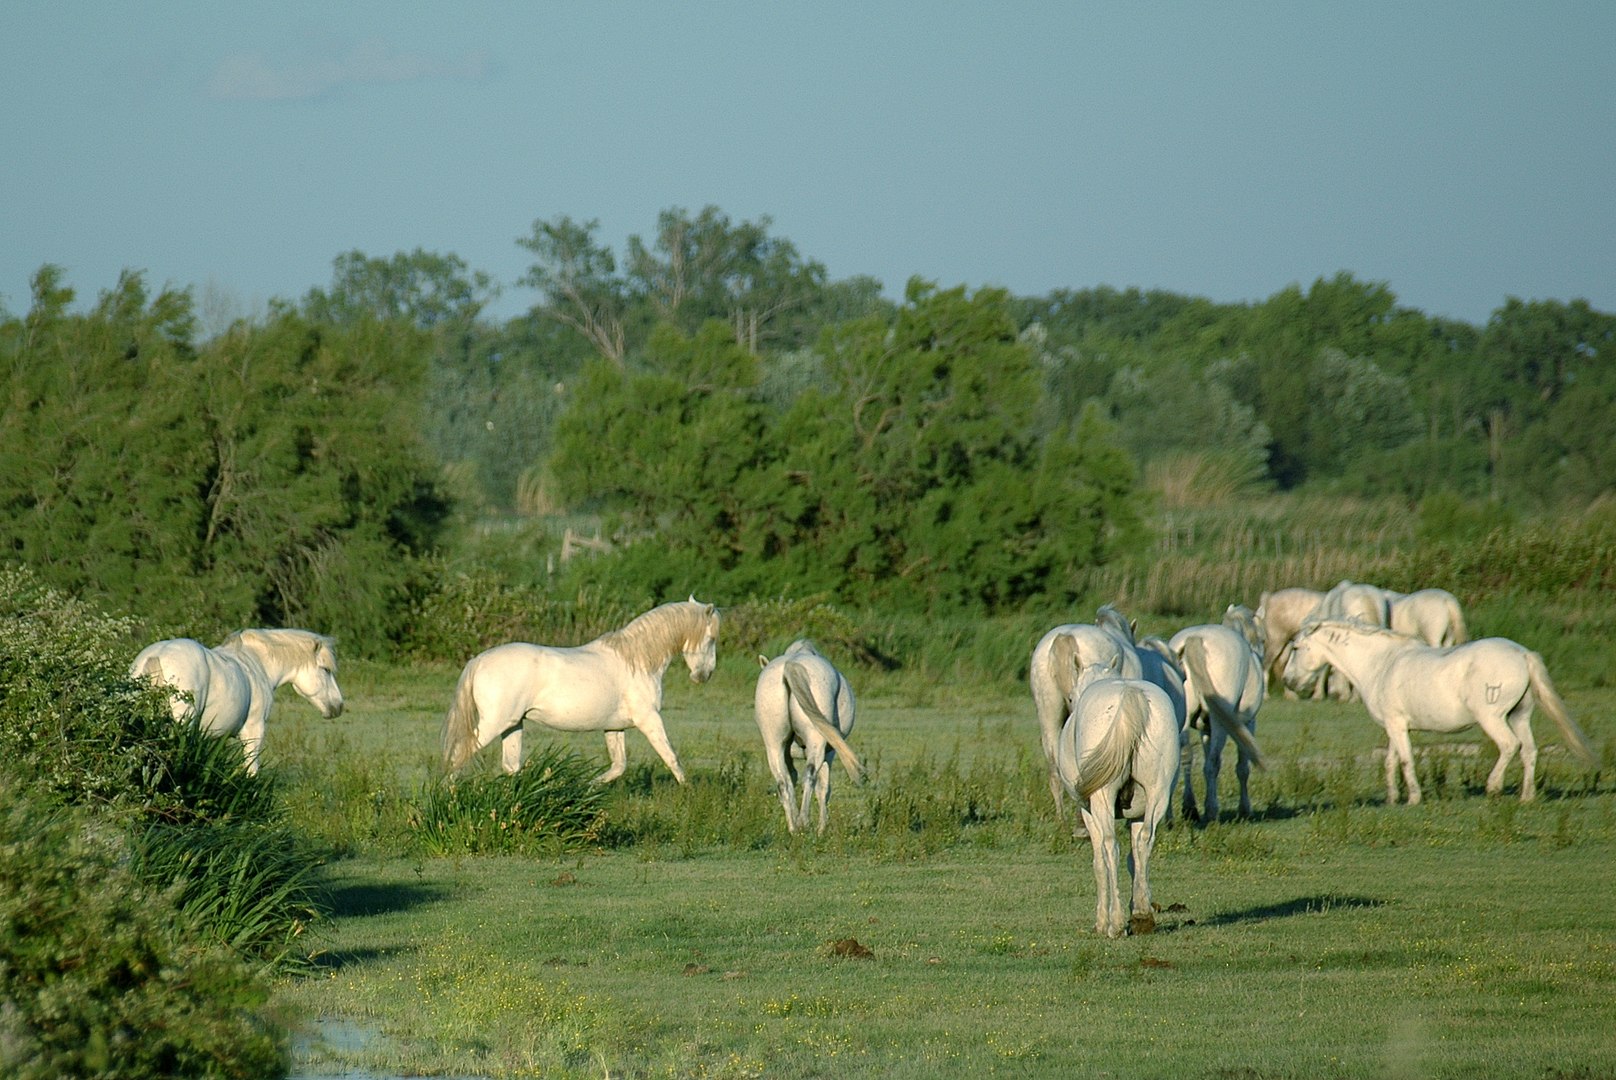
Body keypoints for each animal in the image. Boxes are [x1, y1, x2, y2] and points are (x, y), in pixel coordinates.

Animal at [131, 624, 344, 776]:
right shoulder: (253, 731)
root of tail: (157, 655)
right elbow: (251, 770)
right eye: (326, 670)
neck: (256, 664)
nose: (339, 706)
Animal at [442, 594, 720, 779]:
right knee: (459, 754)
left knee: (510, 766)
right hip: (494, 723)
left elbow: (618, 767)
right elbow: (672, 759)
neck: (637, 660)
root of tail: (478, 661)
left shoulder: (614, 727)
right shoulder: (649, 719)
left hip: (513, 725)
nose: (705, 675)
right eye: (711, 638)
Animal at [753, 640, 866, 834]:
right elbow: (823, 788)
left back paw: (793, 828)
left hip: (774, 745)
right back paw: (803, 821)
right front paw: (821, 828)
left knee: (782, 782)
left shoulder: (787, 754)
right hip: (817, 743)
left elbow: (791, 778)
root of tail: (791, 665)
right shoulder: (830, 753)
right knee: (810, 774)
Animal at [1279, 614, 1596, 801]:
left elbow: (1406, 760)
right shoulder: (1395, 726)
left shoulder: (1397, 725)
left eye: (1295, 648)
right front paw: (1393, 798)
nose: (1287, 681)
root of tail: (1522, 653)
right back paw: (1526, 796)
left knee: (1510, 746)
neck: (1381, 664)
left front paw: (1413, 798)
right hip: (1520, 715)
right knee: (1529, 750)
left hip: (1492, 717)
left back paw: (1493, 787)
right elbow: (1391, 761)